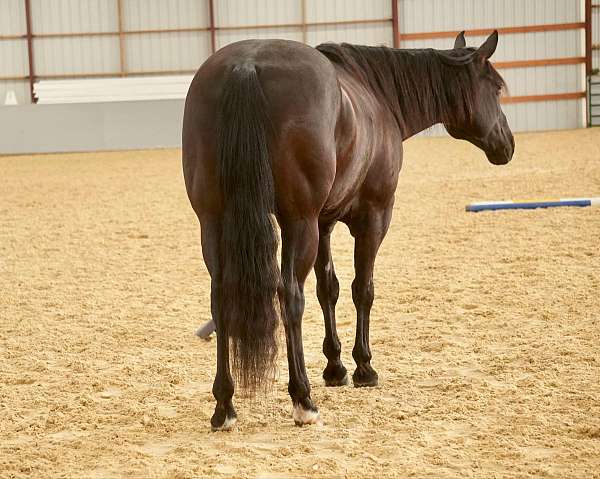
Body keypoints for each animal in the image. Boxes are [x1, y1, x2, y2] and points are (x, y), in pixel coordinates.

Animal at [182, 31, 510, 434]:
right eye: (496, 88)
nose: (507, 144)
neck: (378, 96)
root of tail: (247, 65)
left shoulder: (323, 223)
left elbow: (329, 289)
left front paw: (335, 366)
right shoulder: (373, 217)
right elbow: (361, 289)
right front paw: (364, 367)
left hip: (214, 222)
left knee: (222, 299)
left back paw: (224, 405)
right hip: (298, 222)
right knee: (289, 296)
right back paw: (303, 399)